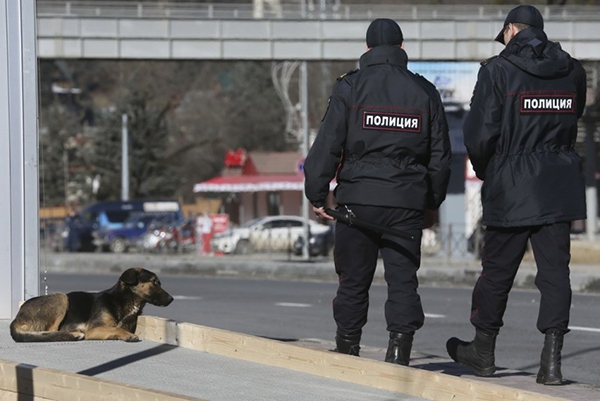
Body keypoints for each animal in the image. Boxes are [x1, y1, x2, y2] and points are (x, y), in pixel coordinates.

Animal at [9, 268, 173, 342]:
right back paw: (73, 334)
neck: (122, 301)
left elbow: (115, 329)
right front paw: (128, 335)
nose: (171, 299)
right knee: (51, 331)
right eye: (154, 282)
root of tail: (17, 317)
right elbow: (117, 329)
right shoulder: (94, 329)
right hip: (61, 297)